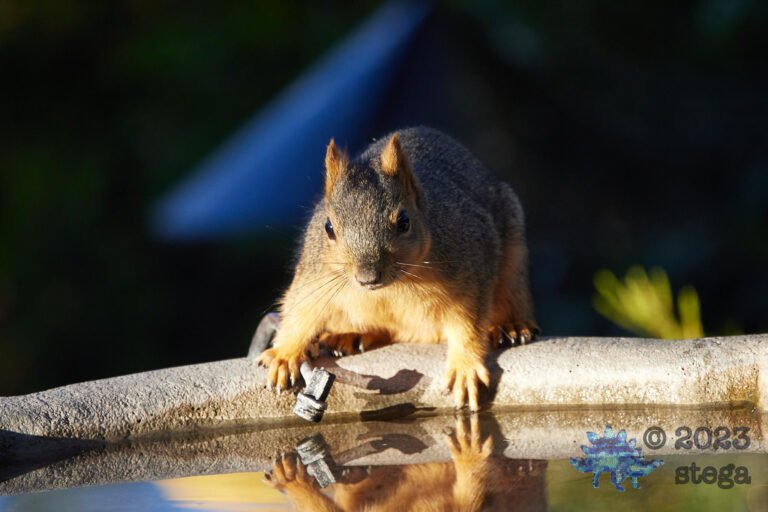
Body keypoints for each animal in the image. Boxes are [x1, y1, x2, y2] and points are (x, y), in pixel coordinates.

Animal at [258, 127, 538, 410]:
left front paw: (465, 366)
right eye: (328, 227)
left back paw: (510, 326)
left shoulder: (471, 264)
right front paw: (285, 354)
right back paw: (348, 335)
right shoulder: (317, 274)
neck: (394, 286)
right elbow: (301, 310)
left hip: (514, 259)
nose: (367, 277)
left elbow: (469, 323)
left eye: (404, 221)